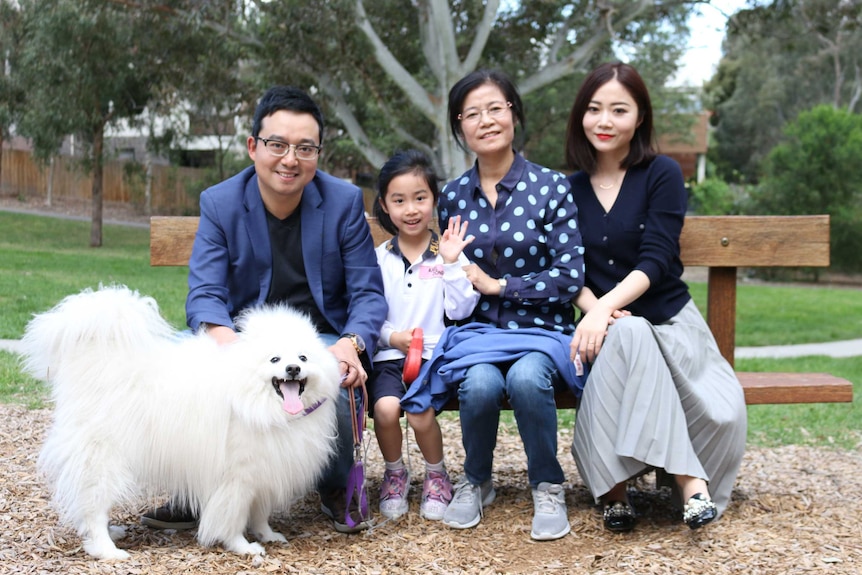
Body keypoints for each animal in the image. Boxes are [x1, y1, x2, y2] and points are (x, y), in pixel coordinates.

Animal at [20, 286, 340, 560]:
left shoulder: (265, 472)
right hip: (102, 461)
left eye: (303, 357)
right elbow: (233, 517)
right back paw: (107, 549)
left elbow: (260, 513)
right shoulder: (237, 478)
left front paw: (267, 535)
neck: (260, 405)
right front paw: (242, 546)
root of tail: (94, 362)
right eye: (274, 359)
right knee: (93, 508)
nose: (293, 368)